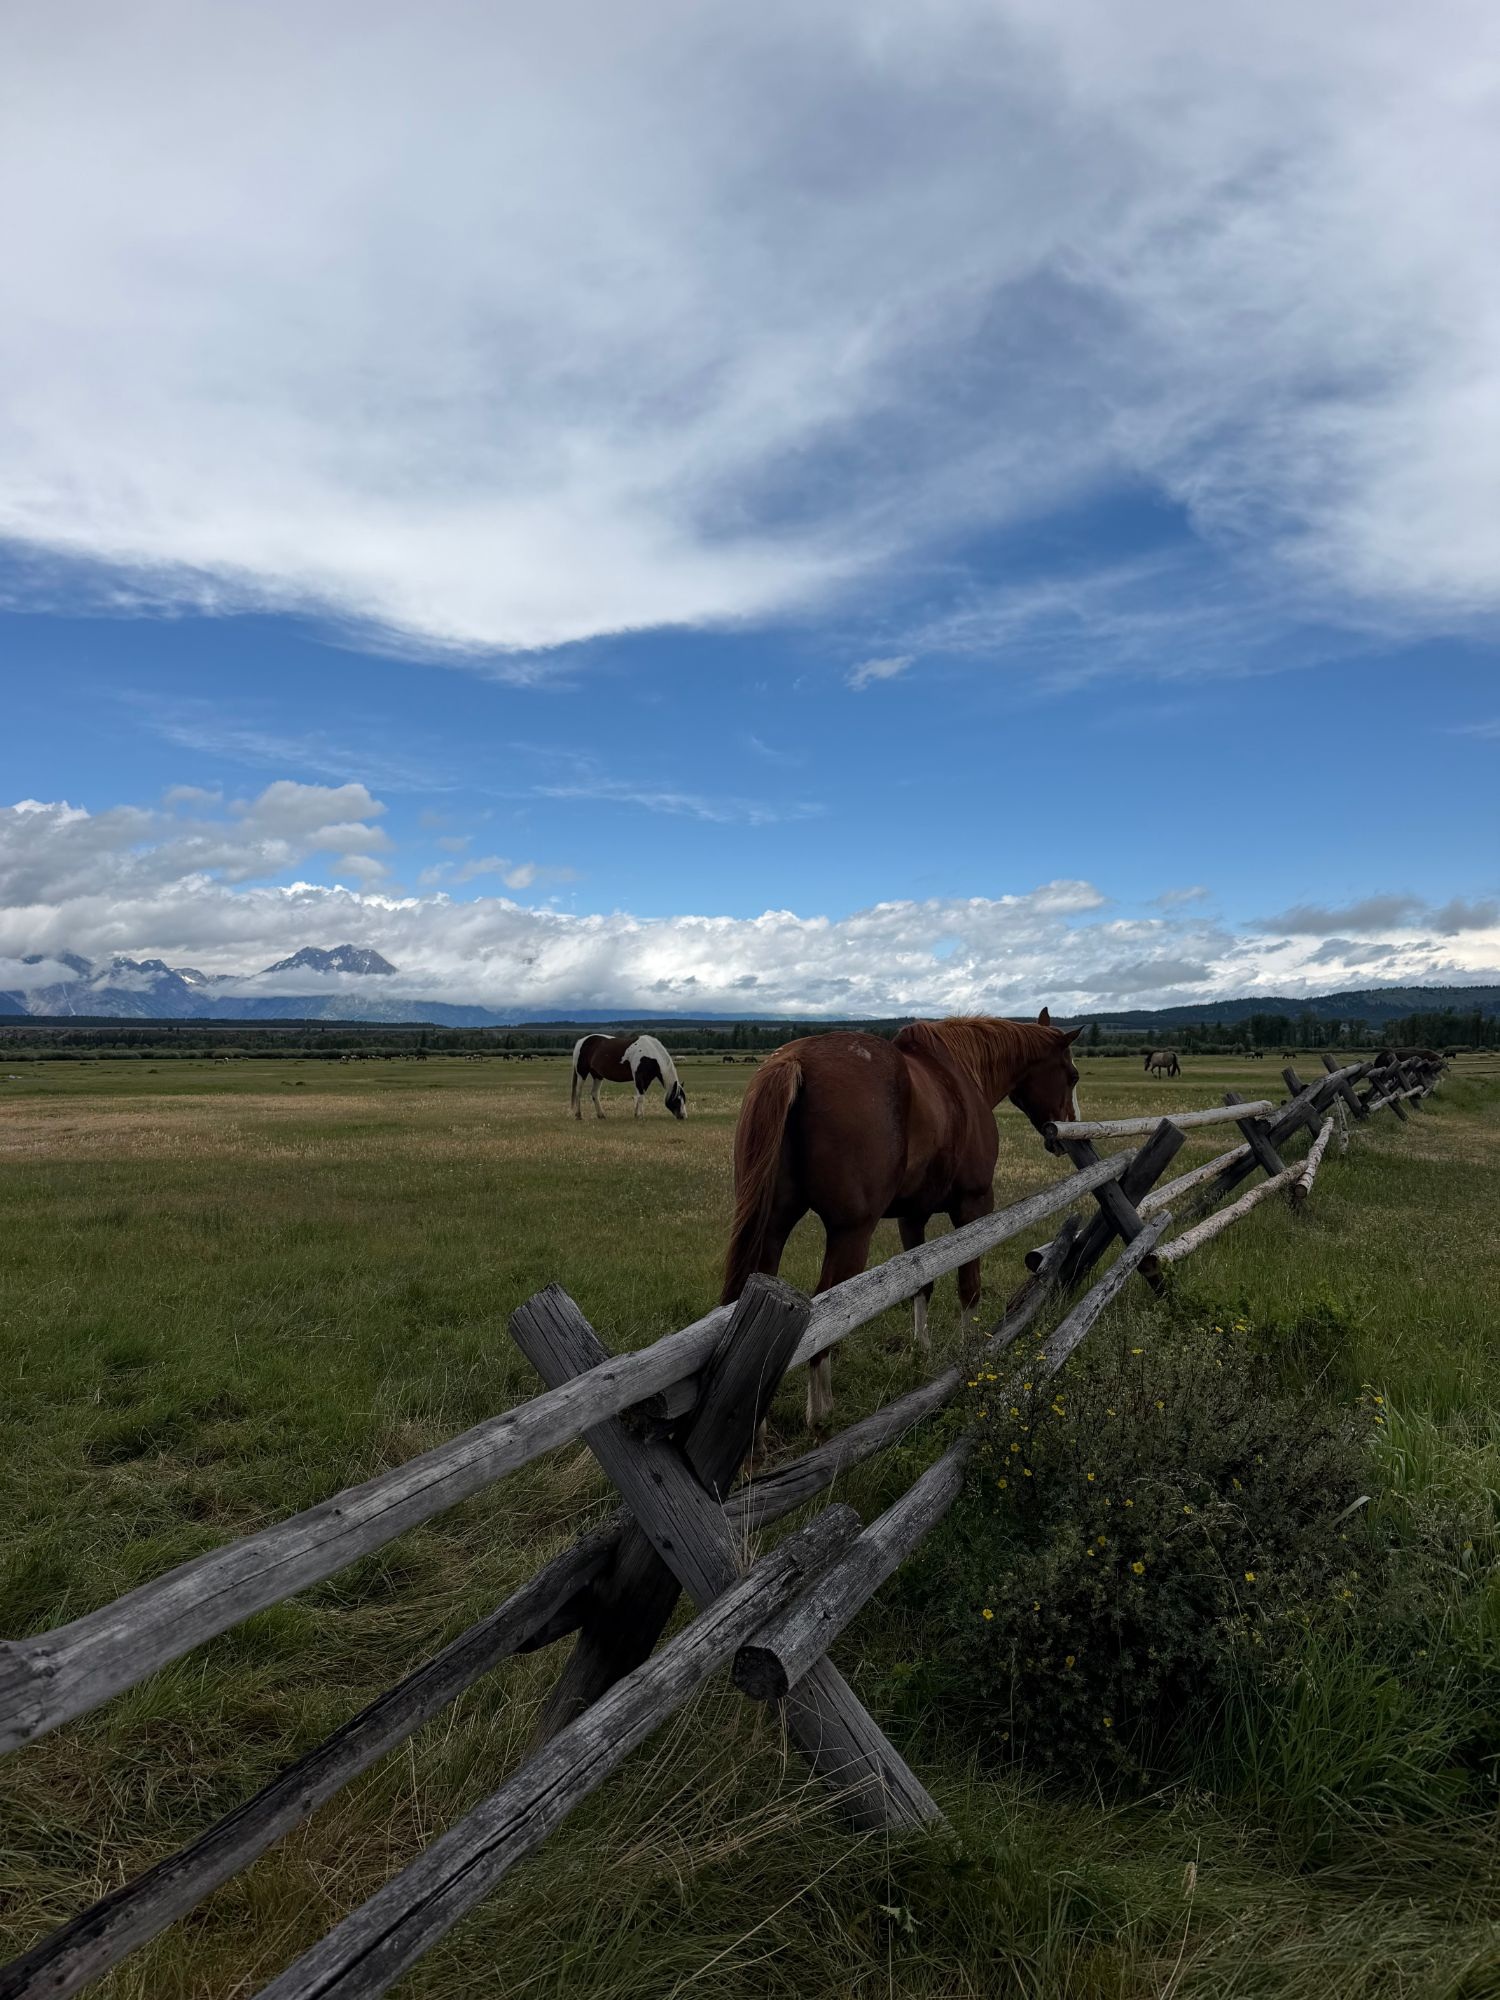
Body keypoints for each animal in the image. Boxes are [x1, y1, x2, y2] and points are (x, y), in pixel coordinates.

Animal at [720, 1010, 1081, 1429]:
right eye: (1072, 1075)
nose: (1068, 1132)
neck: (960, 1077)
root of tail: (795, 1061)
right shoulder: (974, 1207)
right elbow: (969, 1285)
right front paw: (970, 1352)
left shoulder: (913, 1216)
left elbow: (921, 1283)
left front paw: (922, 1348)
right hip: (850, 1233)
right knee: (823, 1311)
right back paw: (821, 1407)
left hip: (773, 1228)